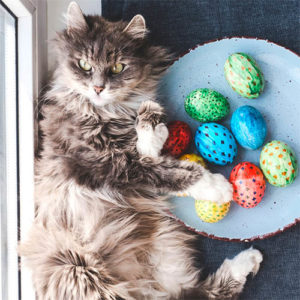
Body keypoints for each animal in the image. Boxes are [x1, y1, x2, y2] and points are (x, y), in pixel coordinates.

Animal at [19, 2, 262, 300]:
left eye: (117, 67)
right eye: (85, 65)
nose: (98, 88)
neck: (108, 111)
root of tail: (144, 287)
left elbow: (151, 150)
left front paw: (150, 120)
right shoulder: (105, 163)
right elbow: (165, 171)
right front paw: (217, 187)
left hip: (166, 249)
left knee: (203, 293)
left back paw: (247, 261)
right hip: (76, 268)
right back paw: (246, 259)